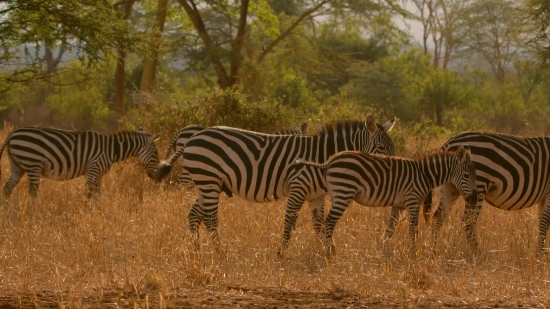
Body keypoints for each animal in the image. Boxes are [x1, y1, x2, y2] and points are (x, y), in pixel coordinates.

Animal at [0, 125, 161, 196]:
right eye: (155, 153)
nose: (157, 176)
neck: (111, 150)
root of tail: (14, 132)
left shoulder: (99, 174)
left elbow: (96, 195)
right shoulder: (92, 169)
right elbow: (87, 193)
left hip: (17, 166)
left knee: (7, 189)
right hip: (33, 164)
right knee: (32, 192)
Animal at [294, 146, 478, 256]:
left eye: (475, 175)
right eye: (466, 175)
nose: (475, 199)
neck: (424, 174)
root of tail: (328, 162)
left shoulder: (398, 206)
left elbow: (390, 229)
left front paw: (382, 250)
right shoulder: (412, 201)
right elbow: (413, 230)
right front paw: (413, 254)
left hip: (337, 193)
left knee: (325, 223)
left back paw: (329, 249)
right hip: (343, 193)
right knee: (328, 223)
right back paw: (329, 253)